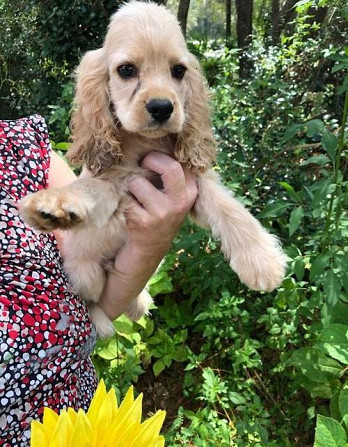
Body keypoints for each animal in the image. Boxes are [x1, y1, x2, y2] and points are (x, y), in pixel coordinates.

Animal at [20, 0, 290, 336]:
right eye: (126, 70)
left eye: (178, 71)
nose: (162, 107)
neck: (146, 145)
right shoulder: (114, 186)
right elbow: (87, 188)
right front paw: (53, 205)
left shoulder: (192, 181)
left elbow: (230, 209)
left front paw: (263, 261)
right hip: (85, 274)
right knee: (93, 302)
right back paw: (104, 322)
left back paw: (140, 301)